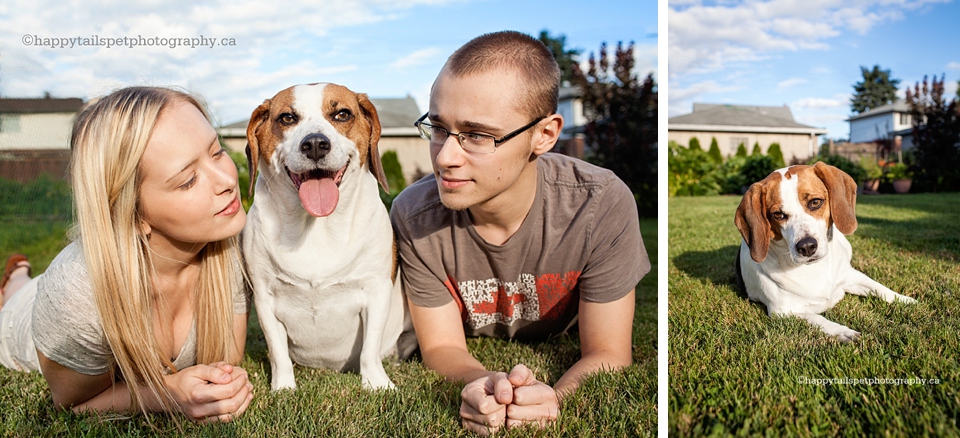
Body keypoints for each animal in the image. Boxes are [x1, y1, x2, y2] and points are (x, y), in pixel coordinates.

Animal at [242, 82, 414, 390]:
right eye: (287, 118)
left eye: (342, 114)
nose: (314, 144)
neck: (316, 226)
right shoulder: (264, 297)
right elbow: (278, 352)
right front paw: (284, 388)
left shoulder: (376, 290)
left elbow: (370, 350)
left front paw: (377, 384)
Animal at [736, 162, 916, 342]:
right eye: (778, 215)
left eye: (815, 202)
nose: (806, 246)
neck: (817, 267)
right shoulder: (782, 312)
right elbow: (817, 318)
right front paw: (844, 332)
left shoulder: (851, 276)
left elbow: (880, 288)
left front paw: (906, 300)